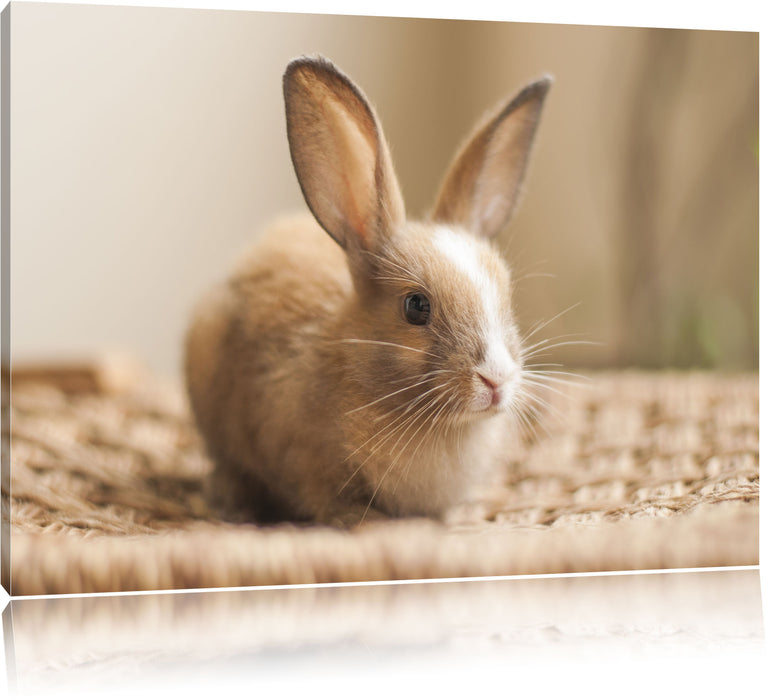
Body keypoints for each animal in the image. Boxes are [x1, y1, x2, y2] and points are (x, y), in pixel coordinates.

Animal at [184, 55, 551, 527]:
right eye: (416, 306)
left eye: (506, 296)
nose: (496, 379)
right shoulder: (304, 463)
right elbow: (325, 500)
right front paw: (364, 520)